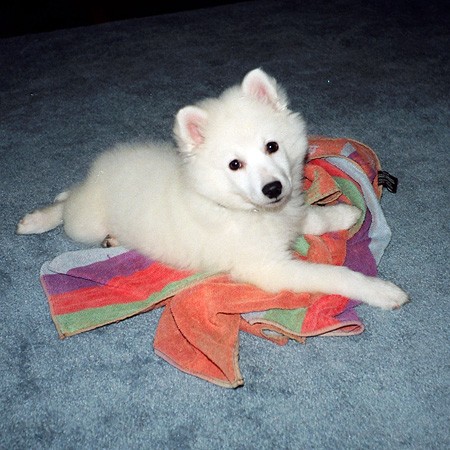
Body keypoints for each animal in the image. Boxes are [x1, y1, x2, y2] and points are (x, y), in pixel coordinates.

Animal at [16, 68, 408, 310]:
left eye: (272, 146)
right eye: (235, 165)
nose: (273, 188)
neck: (243, 209)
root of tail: (97, 173)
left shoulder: (287, 215)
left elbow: (310, 217)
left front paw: (343, 212)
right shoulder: (268, 267)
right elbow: (333, 275)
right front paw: (379, 290)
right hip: (84, 223)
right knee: (66, 206)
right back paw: (36, 220)